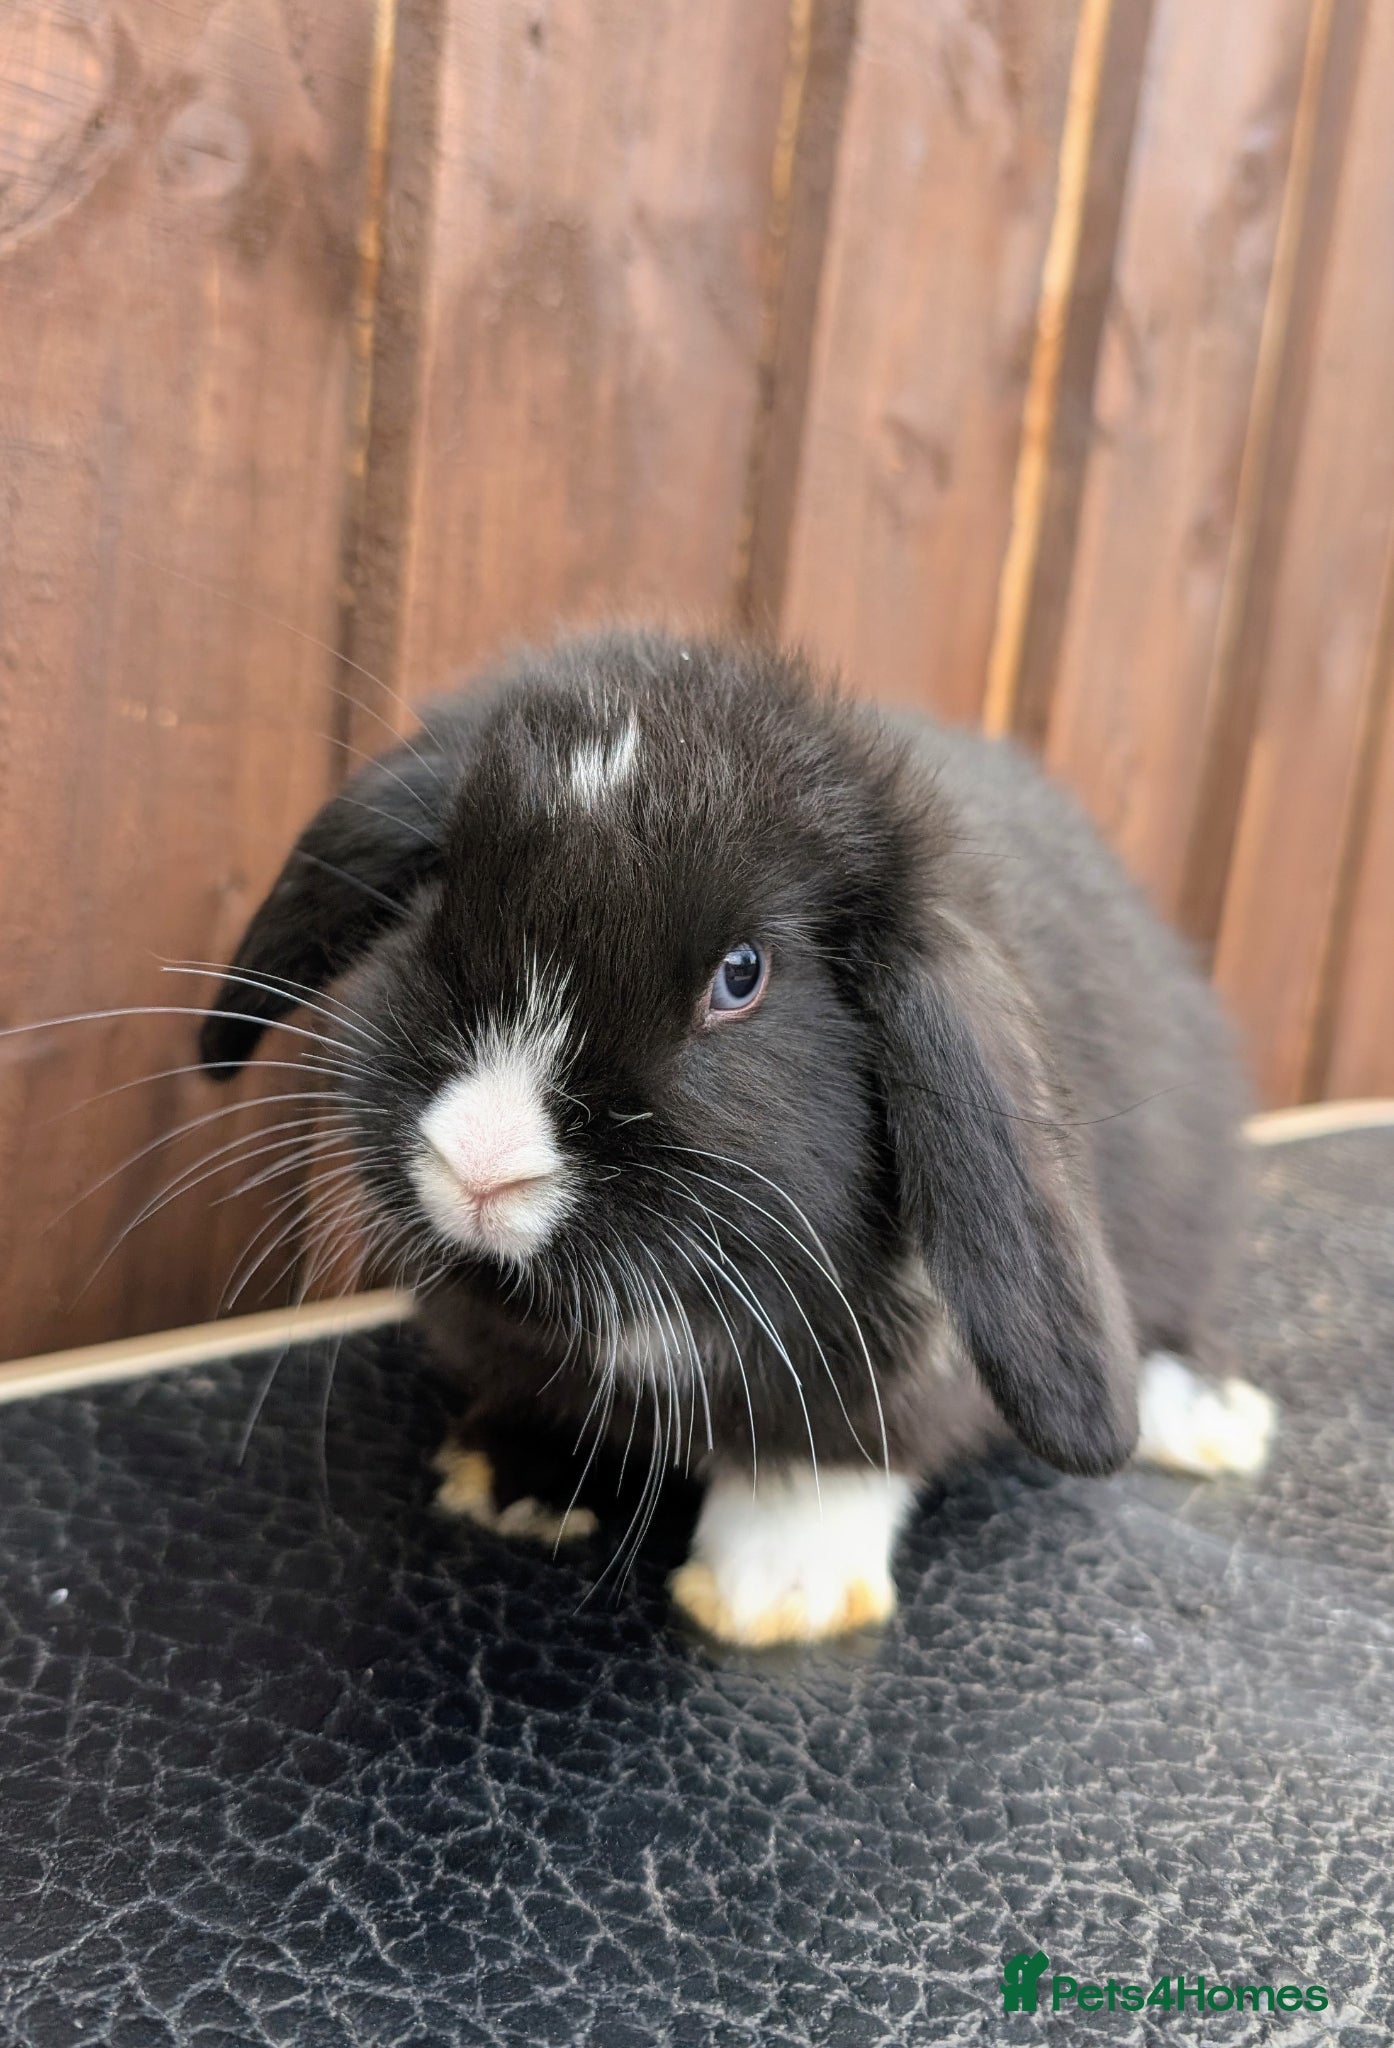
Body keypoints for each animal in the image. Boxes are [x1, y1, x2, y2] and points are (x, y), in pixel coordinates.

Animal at [201, 628, 1275, 1646]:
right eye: (438, 902)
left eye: (742, 974)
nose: (479, 1164)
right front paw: (514, 1483)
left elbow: (826, 1467)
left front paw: (778, 1596)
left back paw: (1212, 1427)